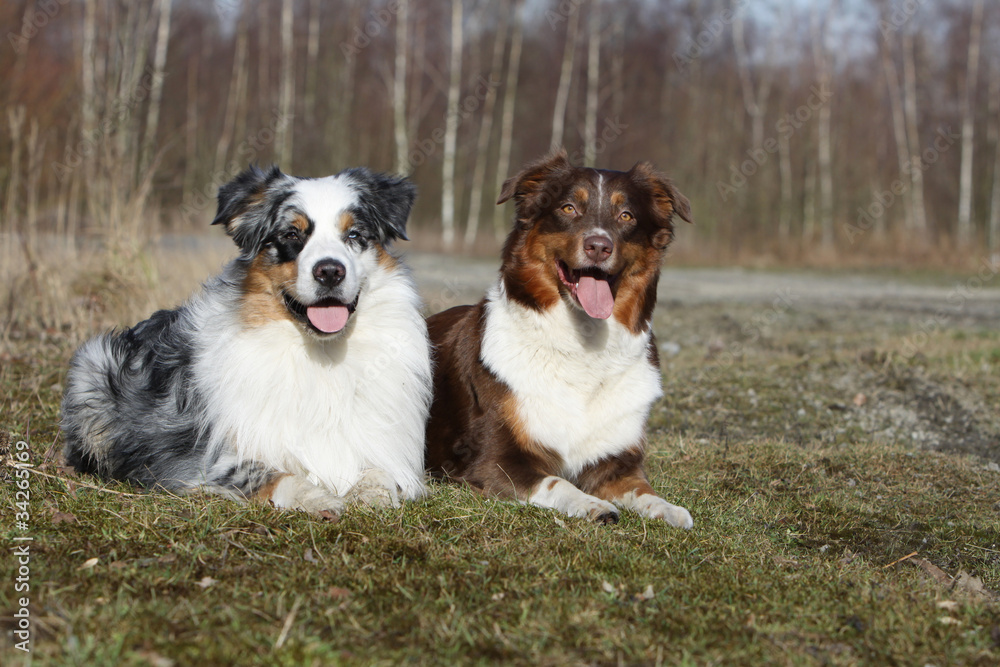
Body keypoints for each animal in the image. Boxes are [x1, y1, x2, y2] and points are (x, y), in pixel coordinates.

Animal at [426, 150, 692, 528]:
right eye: (568, 208)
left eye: (626, 215)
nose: (599, 246)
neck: (584, 346)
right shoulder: (492, 460)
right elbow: (557, 482)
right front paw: (592, 504)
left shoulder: (616, 463)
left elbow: (642, 490)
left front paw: (668, 509)